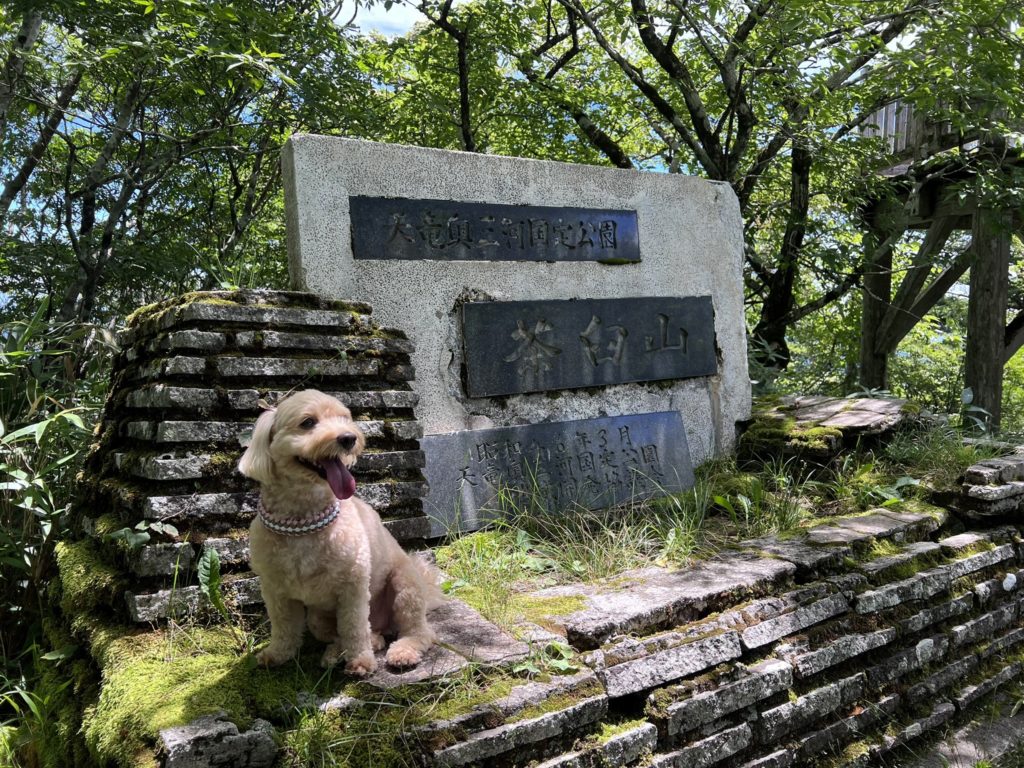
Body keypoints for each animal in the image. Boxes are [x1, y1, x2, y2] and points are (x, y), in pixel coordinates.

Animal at [238, 389, 439, 676]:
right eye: (308, 422)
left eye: (345, 419)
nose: (348, 438)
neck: (302, 521)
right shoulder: (275, 590)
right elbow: (284, 627)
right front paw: (277, 654)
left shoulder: (352, 586)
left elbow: (354, 627)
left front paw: (361, 661)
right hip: (317, 618)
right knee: (348, 634)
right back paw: (342, 651)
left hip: (405, 587)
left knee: (416, 631)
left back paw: (402, 651)